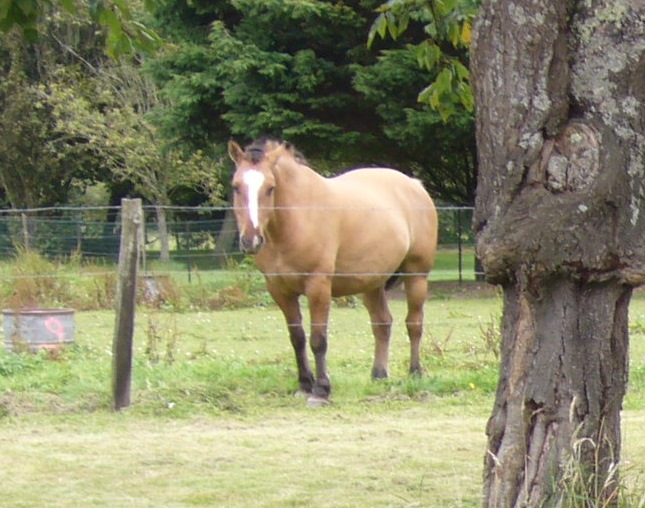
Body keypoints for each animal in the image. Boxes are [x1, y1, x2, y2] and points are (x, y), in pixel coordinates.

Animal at [228, 139, 438, 405]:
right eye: (236, 186)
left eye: (270, 188)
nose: (251, 240)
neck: (296, 218)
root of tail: (414, 185)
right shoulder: (280, 290)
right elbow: (297, 338)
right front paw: (304, 384)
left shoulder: (318, 286)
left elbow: (318, 340)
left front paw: (321, 389)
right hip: (372, 283)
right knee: (382, 323)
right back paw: (379, 374)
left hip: (416, 275)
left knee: (414, 323)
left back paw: (415, 372)